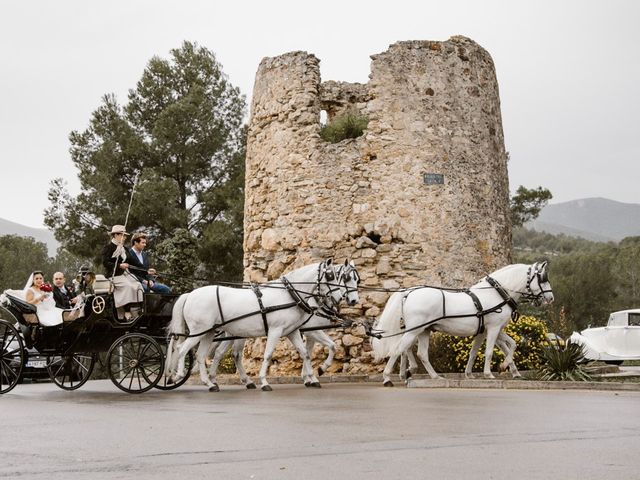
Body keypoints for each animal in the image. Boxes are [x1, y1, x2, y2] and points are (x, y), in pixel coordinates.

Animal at [165, 258, 360, 390]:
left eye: (355, 279)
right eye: (332, 276)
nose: (351, 300)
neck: (290, 295)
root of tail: (190, 294)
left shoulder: (293, 331)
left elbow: (306, 353)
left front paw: (312, 377)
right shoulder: (278, 330)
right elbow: (268, 354)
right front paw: (265, 381)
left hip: (210, 333)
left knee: (205, 355)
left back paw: (210, 383)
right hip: (199, 331)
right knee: (182, 349)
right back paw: (178, 375)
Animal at [372, 262, 552, 386]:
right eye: (542, 279)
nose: (551, 298)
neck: (497, 294)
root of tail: (408, 293)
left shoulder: (487, 330)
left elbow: (502, 347)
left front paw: (475, 373)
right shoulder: (494, 328)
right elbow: (489, 352)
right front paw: (489, 373)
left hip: (423, 330)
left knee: (419, 353)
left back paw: (433, 376)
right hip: (414, 331)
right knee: (398, 349)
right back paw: (388, 378)